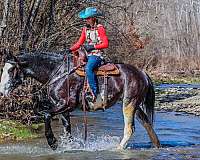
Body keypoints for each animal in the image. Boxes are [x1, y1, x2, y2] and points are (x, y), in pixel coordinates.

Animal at [0, 49, 160, 150]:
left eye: (11, 70)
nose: (2, 91)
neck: (57, 72)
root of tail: (142, 73)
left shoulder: (67, 104)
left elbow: (46, 114)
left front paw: (52, 142)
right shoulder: (62, 109)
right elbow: (67, 130)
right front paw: (68, 146)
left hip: (129, 103)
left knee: (129, 128)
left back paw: (118, 148)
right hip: (135, 105)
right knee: (147, 124)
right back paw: (157, 146)